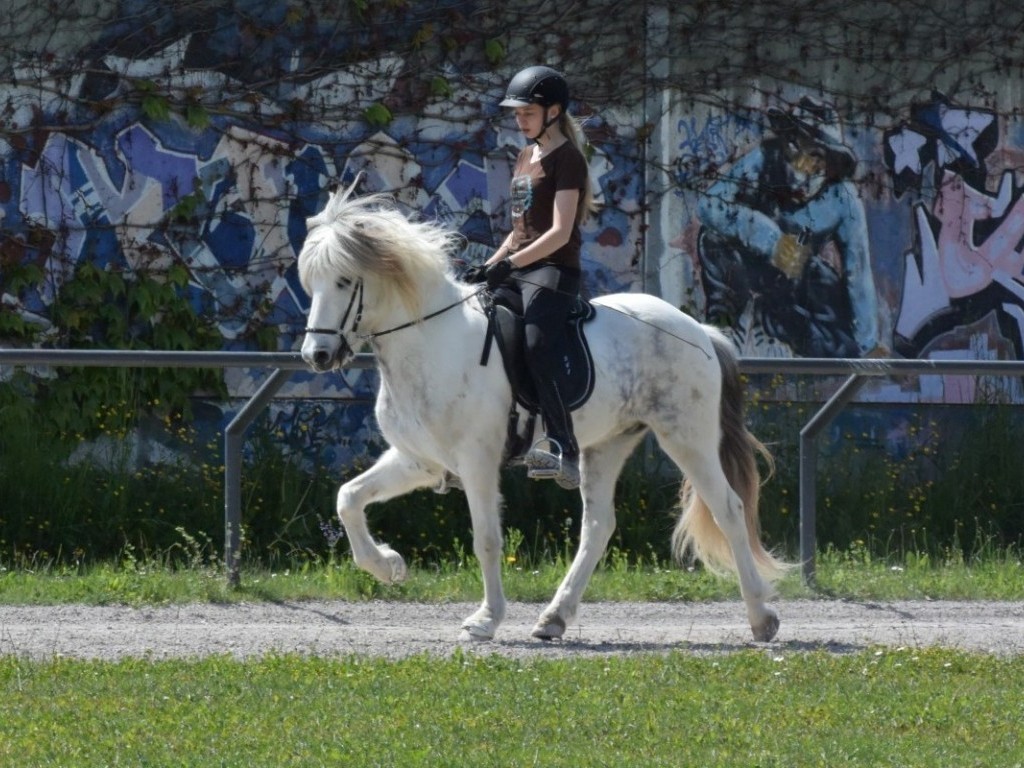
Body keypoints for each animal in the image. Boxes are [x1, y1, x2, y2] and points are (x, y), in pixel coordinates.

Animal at [299, 185, 786, 643]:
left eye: (344, 281)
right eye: (311, 284)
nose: (316, 355)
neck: (430, 341)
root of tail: (698, 329)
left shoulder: (476, 462)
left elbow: (486, 539)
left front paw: (485, 620)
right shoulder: (418, 461)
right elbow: (348, 498)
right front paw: (389, 566)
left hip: (686, 436)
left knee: (728, 508)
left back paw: (761, 617)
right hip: (607, 445)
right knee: (598, 526)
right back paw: (553, 618)